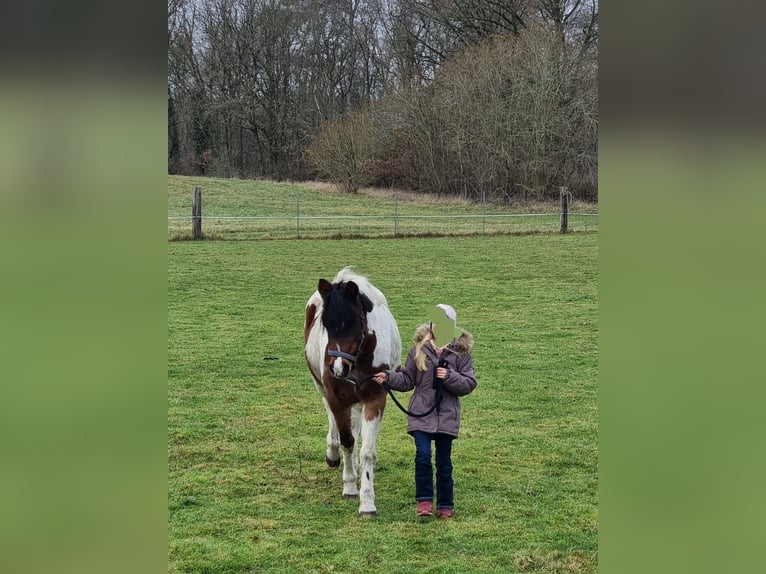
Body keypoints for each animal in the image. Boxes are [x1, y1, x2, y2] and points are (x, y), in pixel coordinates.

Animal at [304, 268, 401, 515]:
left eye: (356, 322)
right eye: (326, 324)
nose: (339, 367)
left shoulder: (375, 397)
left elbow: (366, 450)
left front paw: (367, 501)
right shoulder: (337, 398)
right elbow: (347, 441)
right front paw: (349, 486)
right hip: (322, 388)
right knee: (332, 418)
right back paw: (333, 454)